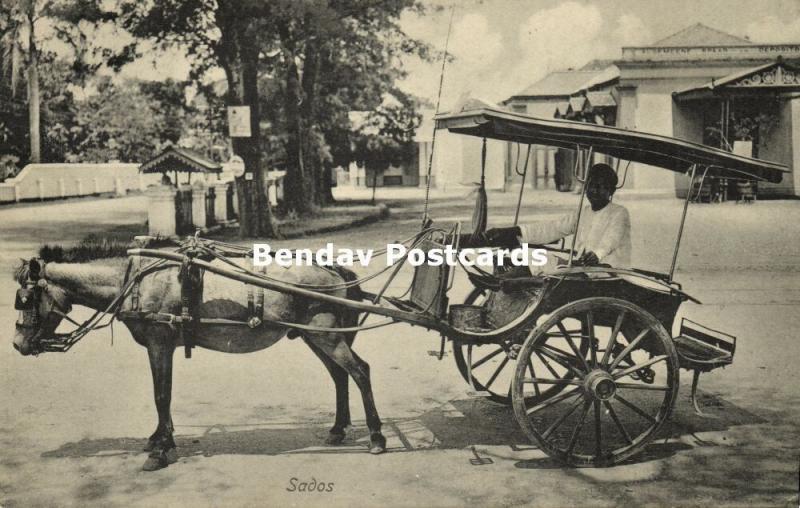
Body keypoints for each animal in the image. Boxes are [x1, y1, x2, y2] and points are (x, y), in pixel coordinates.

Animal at [10, 240, 386, 470]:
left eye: (26, 299)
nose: (17, 344)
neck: (133, 281)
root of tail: (335, 271)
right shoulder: (160, 346)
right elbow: (162, 394)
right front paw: (159, 438)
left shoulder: (160, 342)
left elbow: (161, 395)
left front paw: (161, 450)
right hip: (316, 337)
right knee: (340, 375)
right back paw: (337, 429)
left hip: (325, 336)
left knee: (361, 371)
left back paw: (377, 437)